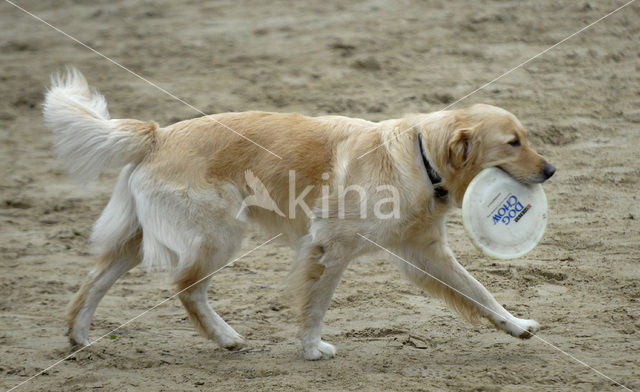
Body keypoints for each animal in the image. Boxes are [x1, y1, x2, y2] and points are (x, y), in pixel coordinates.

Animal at [45, 67, 556, 358]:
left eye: (526, 137)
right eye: (513, 143)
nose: (551, 170)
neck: (420, 158)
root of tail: (157, 134)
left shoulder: (426, 253)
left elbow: (479, 293)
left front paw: (516, 326)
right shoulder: (331, 249)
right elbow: (316, 306)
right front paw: (312, 349)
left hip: (139, 242)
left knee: (94, 282)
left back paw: (80, 339)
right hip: (219, 236)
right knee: (187, 288)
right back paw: (225, 338)